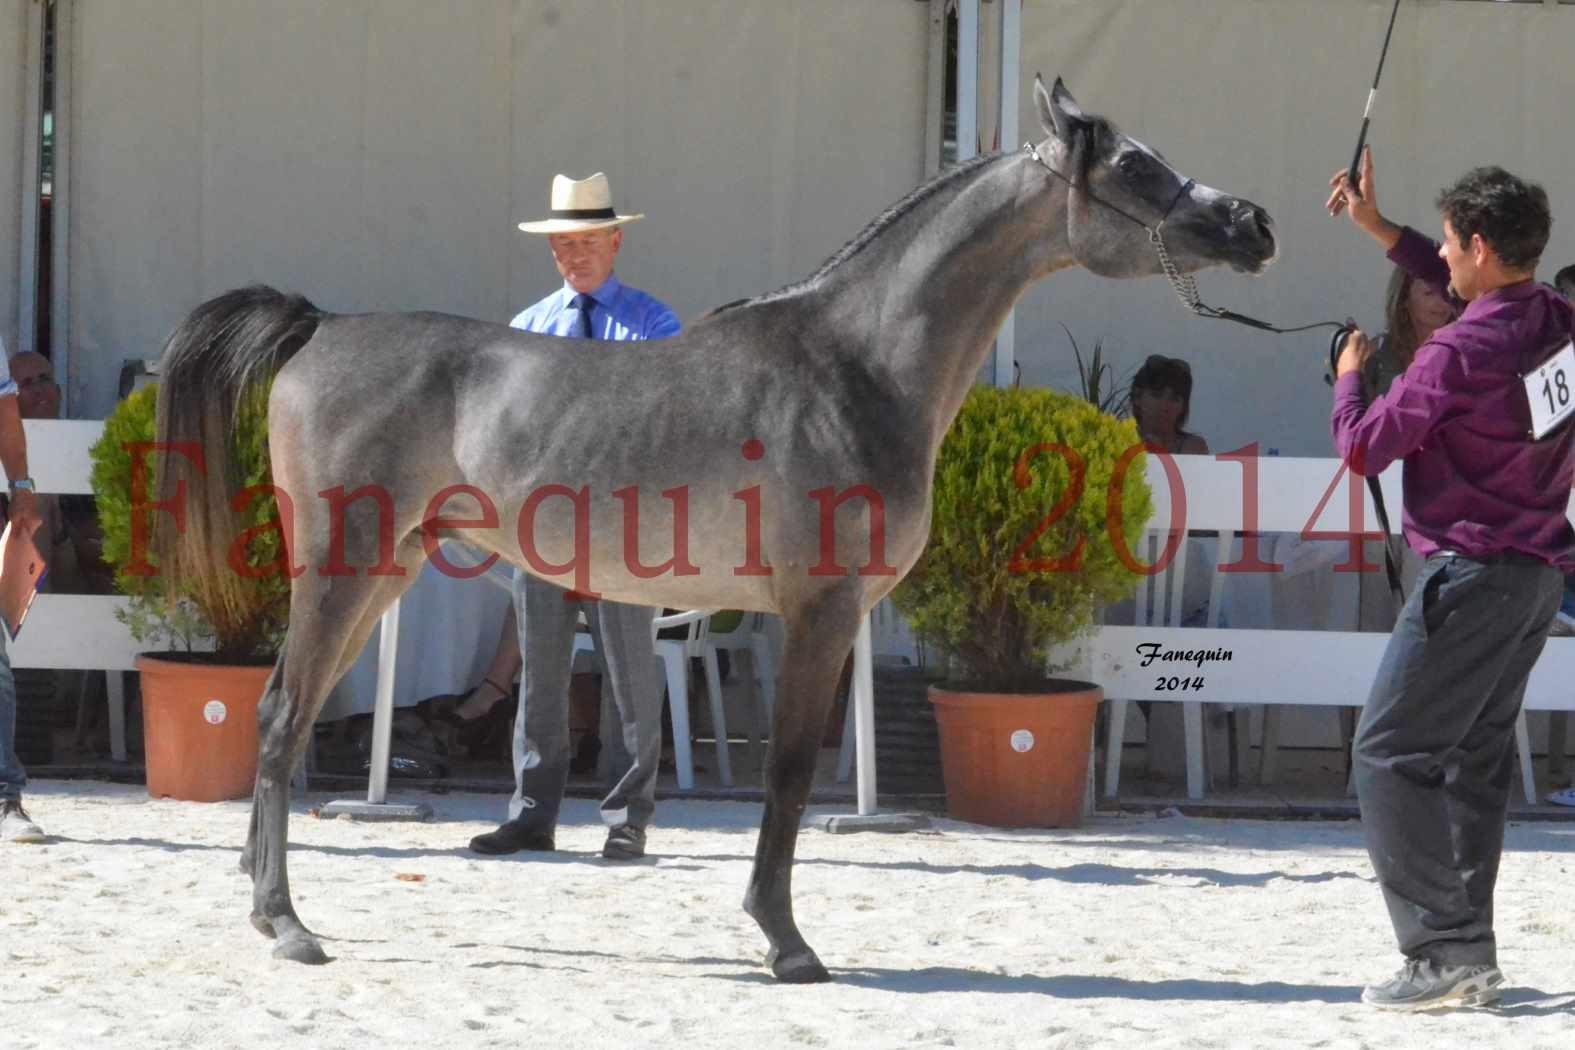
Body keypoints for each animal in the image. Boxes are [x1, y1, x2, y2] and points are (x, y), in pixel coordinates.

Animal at [150, 77, 1278, 982]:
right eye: (1135, 164)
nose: (1252, 221)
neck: (854, 363)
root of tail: (320, 327)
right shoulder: (818, 613)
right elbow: (786, 775)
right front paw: (786, 944)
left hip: (381, 576)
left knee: (287, 718)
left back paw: (265, 906)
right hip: (340, 573)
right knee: (279, 717)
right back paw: (285, 925)